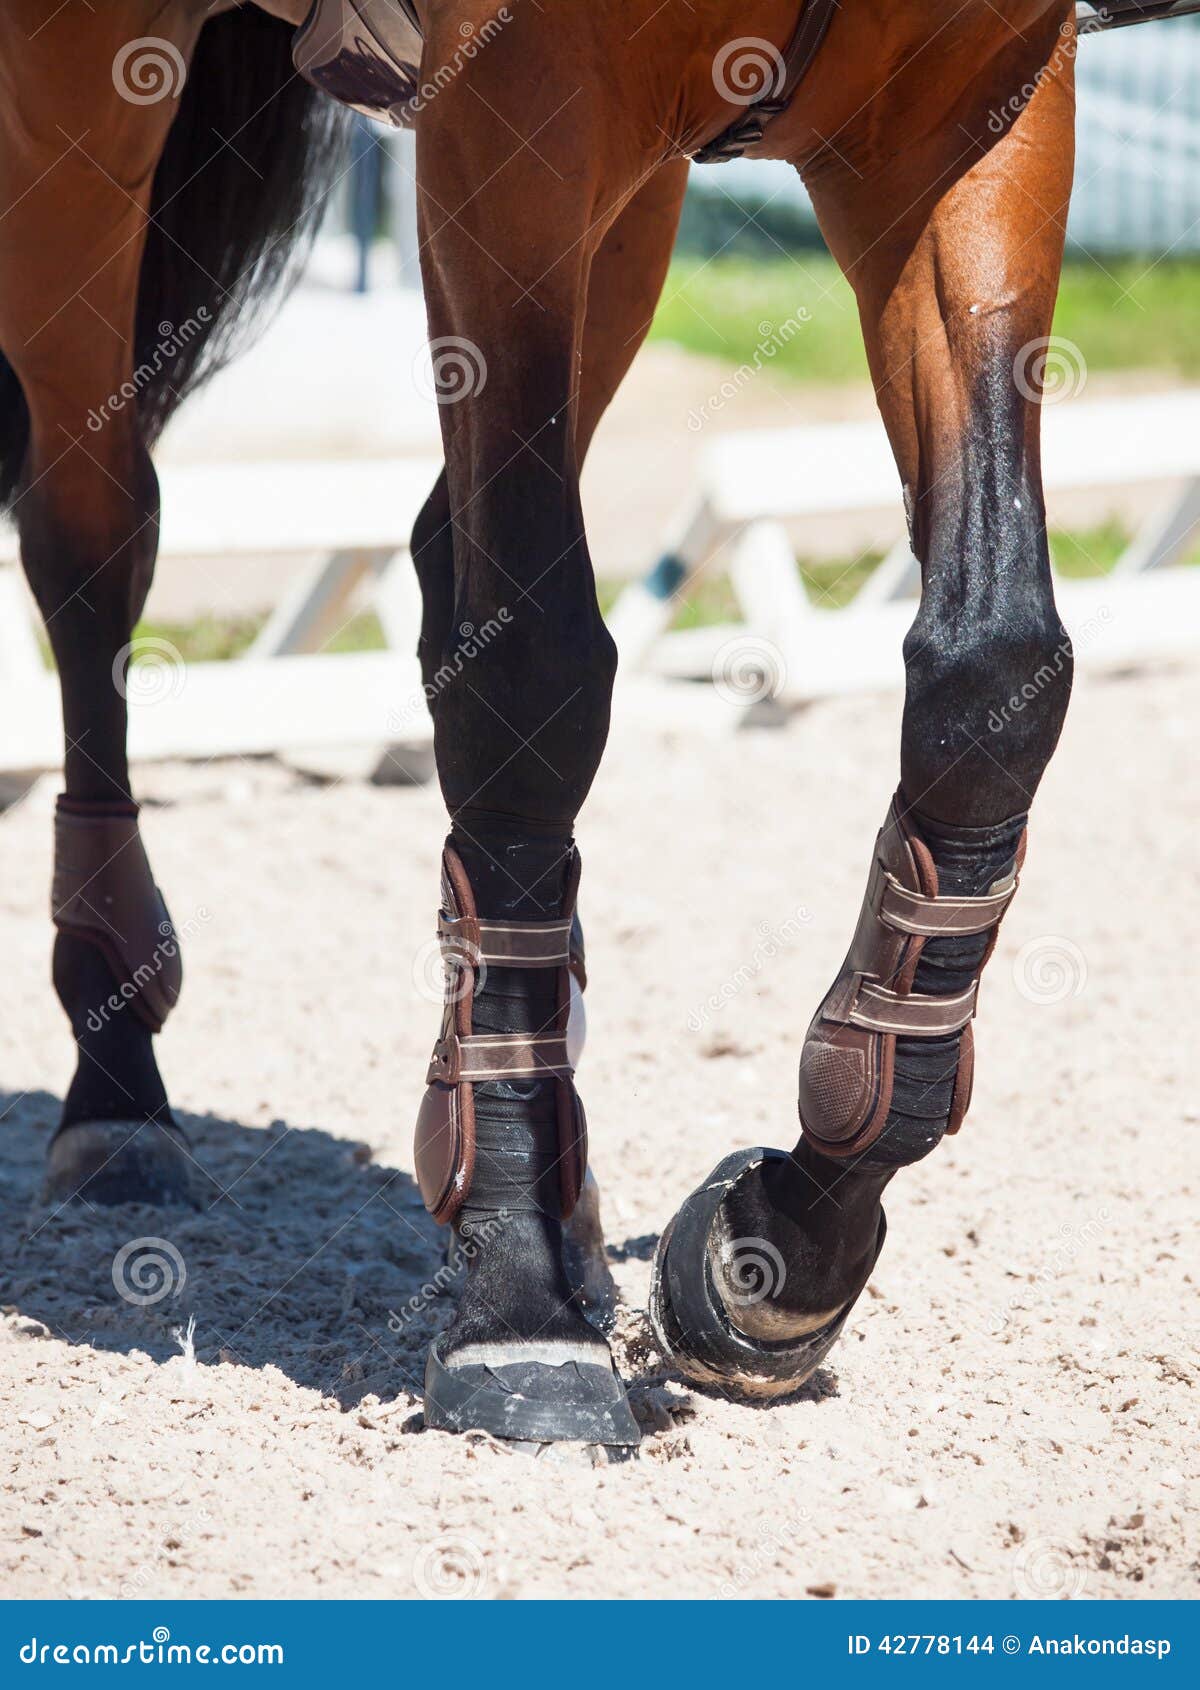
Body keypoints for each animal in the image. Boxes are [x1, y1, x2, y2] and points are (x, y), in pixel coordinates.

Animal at [0, 0, 1176, 1448]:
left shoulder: (969, 109)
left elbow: (991, 674)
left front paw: (776, 1250)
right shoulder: (513, 109)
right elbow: (534, 675)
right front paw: (519, 1299)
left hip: (634, 203)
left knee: (436, 556)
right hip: (81, 97)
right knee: (93, 532)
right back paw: (117, 1083)